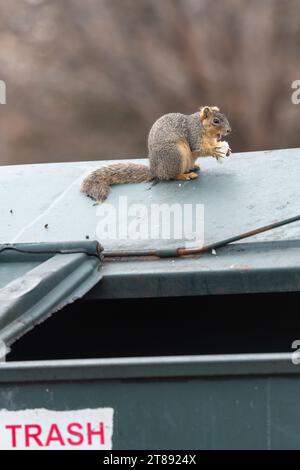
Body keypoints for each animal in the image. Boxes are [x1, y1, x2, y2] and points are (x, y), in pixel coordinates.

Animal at [80, 105, 232, 203]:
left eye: (225, 117)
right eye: (216, 121)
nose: (229, 130)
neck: (202, 127)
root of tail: (155, 171)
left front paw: (226, 150)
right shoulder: (193, 135)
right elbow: (198, 149)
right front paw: (214, 151)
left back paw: (193, 167)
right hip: (175, 155)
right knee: (170, 176)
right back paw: (185, 175)